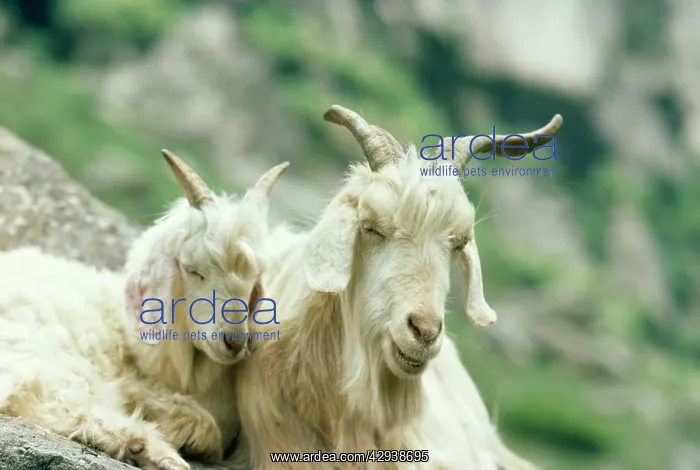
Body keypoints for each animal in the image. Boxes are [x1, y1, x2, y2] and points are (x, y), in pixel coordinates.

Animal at [0, 152, 287, 470]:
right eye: (192, 270)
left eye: (254, 278)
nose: (235, 342)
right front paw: (191, 431)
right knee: (53, 396)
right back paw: (152, 450)